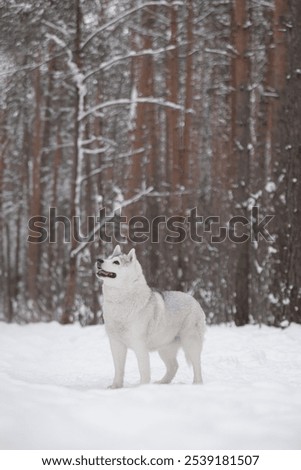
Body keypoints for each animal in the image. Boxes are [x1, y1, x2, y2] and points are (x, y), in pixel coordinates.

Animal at [95, 244, 205, 388]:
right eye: (108, 257)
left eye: (116, 262)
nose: (99, 260)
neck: (121, 301)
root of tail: (193, 299)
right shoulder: (116, 344)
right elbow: (118, 369)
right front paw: (115, 387)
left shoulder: (139, 345)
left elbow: (143, 369)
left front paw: (142, 387)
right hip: (165, 349)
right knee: (174, 366)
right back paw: (161, 383)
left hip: (191, 343)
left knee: (197, 366)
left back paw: (197, 384)